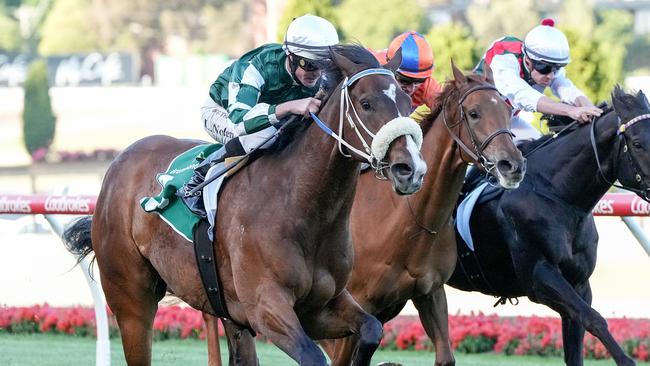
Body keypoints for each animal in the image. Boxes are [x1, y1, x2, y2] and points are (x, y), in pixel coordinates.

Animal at [60, 44, 426, 364]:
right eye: (366, 103)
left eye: (407, 102)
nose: (411, 169)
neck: (300, 206)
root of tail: (118, 164)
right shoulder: (266, 307)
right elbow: (312, 355)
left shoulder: (321, 305)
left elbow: (371, 329)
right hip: (131, 299)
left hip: (224, 309)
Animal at [446, 86, 648, 366]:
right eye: (637, 143)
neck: (557, 194)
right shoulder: (539, 276)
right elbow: (594, 318)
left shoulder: (579, 283)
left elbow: (577, 338)